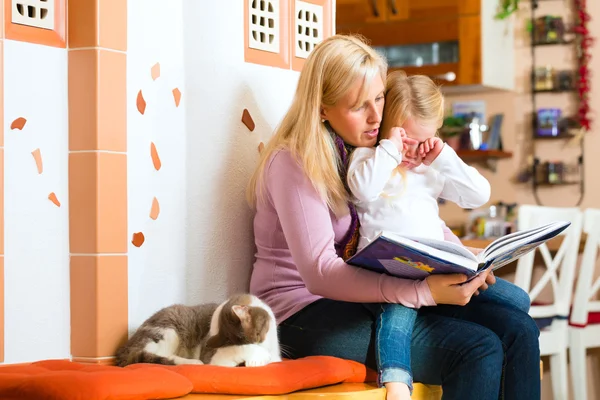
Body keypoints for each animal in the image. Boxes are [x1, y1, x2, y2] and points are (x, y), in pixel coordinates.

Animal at [113, 292, 280, 368]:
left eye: (257, 334)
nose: (260, 342)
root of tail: (124, 348)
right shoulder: (213, 356)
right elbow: (240, 349)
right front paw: (257, 356)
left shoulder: (276, 356)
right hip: (169, 328)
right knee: (156, 354)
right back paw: (193, 362)